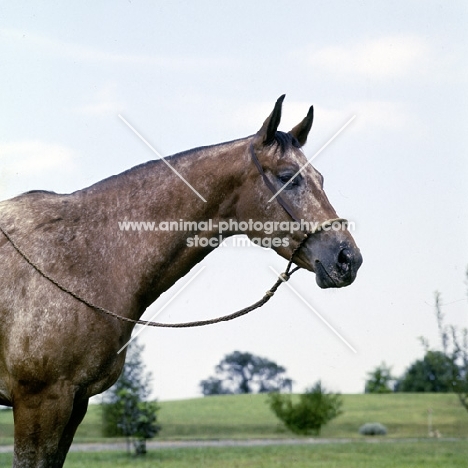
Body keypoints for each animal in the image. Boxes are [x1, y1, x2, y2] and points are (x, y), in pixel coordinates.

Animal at [0, 95, 362, 464]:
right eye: (288, 177)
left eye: (320, 178)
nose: (348, 259)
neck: (83, 257)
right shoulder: (42, 400)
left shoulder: (76, 403)